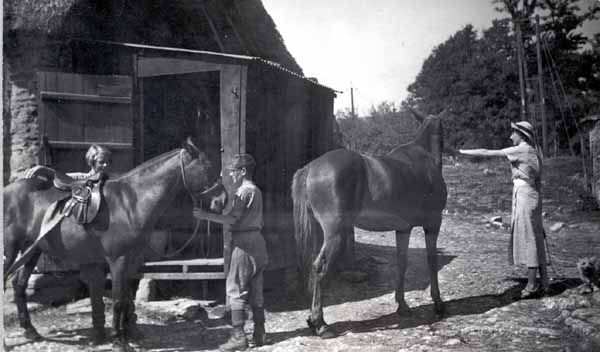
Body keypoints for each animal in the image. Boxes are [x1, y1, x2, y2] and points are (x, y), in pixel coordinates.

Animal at [1, 139, 213, 350]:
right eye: (206, 167)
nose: (219, 200)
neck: (132, 203)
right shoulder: (118, 260)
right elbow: (118, 300)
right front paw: (119, 341)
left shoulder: (132, 260)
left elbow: (127, 298)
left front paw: (129, 334)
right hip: (11, 251)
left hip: (32, 250)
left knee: (19, 284)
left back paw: (30, 330)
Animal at [292, 114, 448, 336]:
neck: (425, 160)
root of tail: (311, 167)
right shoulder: (433, 224)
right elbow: (431, 261)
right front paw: (438, 303)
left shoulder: (403, 229)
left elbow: (402, 262)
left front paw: (402, 306)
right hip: (336, 234)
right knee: (320, 268)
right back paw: (321, 324)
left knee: (313, 271)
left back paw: (313, 320)